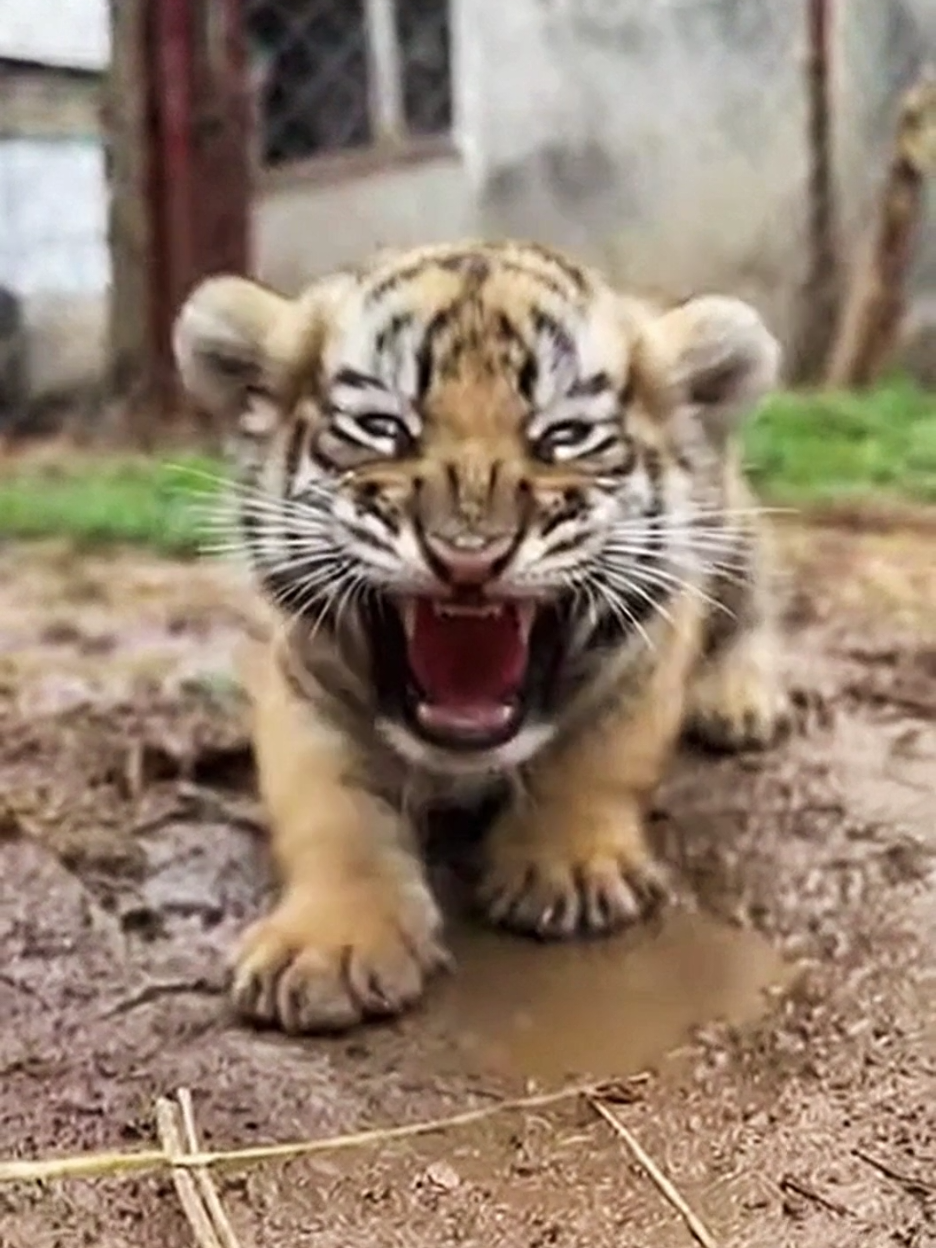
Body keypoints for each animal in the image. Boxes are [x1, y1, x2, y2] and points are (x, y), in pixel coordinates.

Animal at [172, 239, 788, 1035]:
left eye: (563, 438)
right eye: (385, 429)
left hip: (735, 531)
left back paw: (738, 702)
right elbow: (331, 809)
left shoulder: (651, 646)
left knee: (750, 607)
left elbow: (600, 753)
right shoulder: (298, 679)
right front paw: (328, 946)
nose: (468, 554)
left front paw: (567, 870)